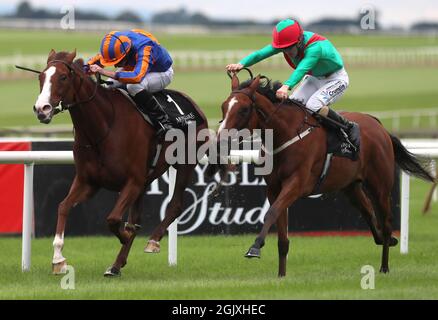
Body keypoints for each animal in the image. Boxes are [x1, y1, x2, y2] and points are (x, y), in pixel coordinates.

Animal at [33, 50, 210, 278]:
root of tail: (193, 104)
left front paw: (126, 235)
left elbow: (114, 219)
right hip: (146, 181)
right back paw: (116, 265)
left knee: (175, 205)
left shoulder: (132, 181)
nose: (42, 109)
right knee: (137, 217)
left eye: (63, 77)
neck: (102, 129)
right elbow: (63, 206)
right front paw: (58, 259)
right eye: (41, 77)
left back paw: (153, 240)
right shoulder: (88, 182)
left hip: (185, 163)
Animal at [216, 71, 434, 276]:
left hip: (380, 185)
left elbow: (271, 212)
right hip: (351, 187)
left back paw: (384, 266)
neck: (285, 134)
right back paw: (386, 240)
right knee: (369, 214)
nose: (220, 140)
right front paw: (281, 276)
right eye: (224, 107)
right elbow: (282, 236)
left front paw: (254, 248)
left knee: (386, 223)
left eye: (244, 109)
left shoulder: (296, 184)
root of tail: (379, 126)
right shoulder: (273, 188)